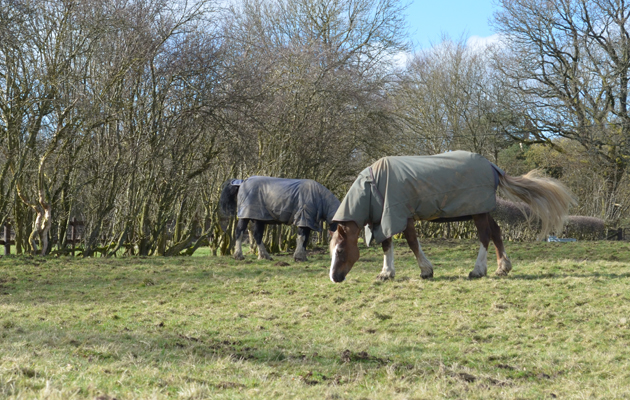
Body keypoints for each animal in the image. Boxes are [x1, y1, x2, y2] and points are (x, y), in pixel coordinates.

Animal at [328, 151, 580, 284]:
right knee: (496, 232)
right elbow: (387, 243)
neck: (374, 185)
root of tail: (492, 166)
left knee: (485, 236)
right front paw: (386, 272)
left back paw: (479, 270)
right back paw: (502, 267)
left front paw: (425, 270)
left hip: (478, 211)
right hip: (483, 210)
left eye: (340, 251)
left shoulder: (400, 215)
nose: (334, 277)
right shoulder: (385, 218)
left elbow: (411, 242)